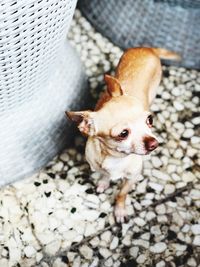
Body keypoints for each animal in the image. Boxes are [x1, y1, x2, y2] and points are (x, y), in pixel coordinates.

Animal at [67, 47, 180, 223]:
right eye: (123, 134)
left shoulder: (131, 178)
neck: (117, 157)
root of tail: (147, 48)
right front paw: (104, 182)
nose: (154, 143)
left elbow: (122, 194)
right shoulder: (97, 168)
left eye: (150, 120)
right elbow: (104, 175)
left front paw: (119, 210)